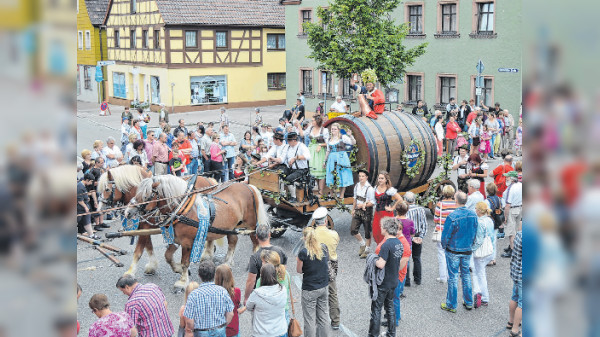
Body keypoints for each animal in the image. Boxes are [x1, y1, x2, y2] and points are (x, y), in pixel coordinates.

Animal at [124, 176, 268, 288]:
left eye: (146, 195)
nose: (127, 212)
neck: (182, 209)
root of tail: (248, 186)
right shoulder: (175, 239)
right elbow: (168, 256)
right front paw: (177, 269)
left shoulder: (187, 242)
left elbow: (185, 262)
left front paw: (182, 281)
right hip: (231, 226)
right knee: (233, 241)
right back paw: (227, 262)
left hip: (250, 225)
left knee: (255, 242)